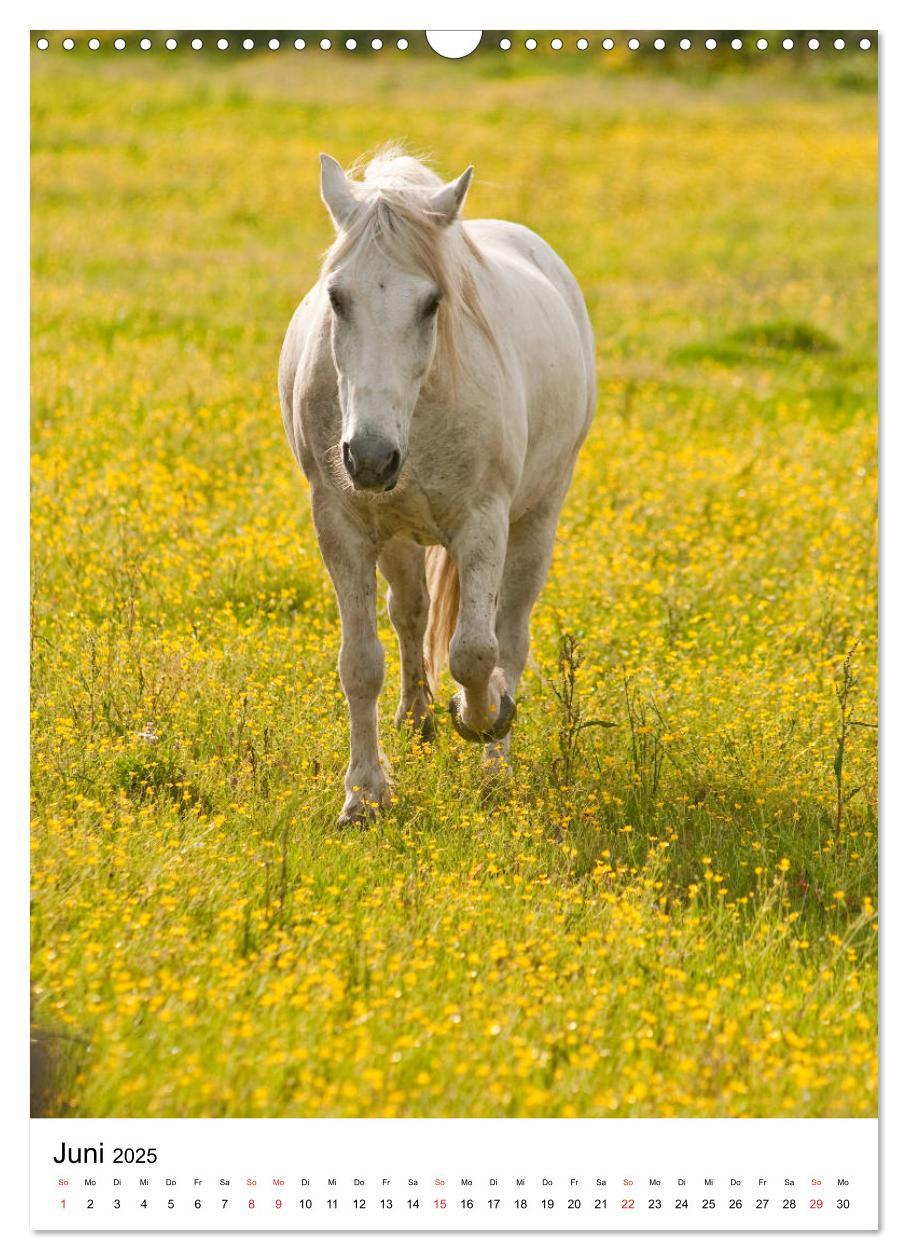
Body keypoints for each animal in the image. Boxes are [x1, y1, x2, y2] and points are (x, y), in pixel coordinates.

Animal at [279, 149, 599, 826]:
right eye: (336, 297)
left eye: (431, 304)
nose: (371, 458)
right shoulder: (342, 524)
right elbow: (360, 664)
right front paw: (365, 796)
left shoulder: (483, 523)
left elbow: (475, 651)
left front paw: (482, 719)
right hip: (398, 535)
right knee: (410, 613)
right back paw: (416, 718)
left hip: (537, 520)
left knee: (510, 636)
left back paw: (496, 762)